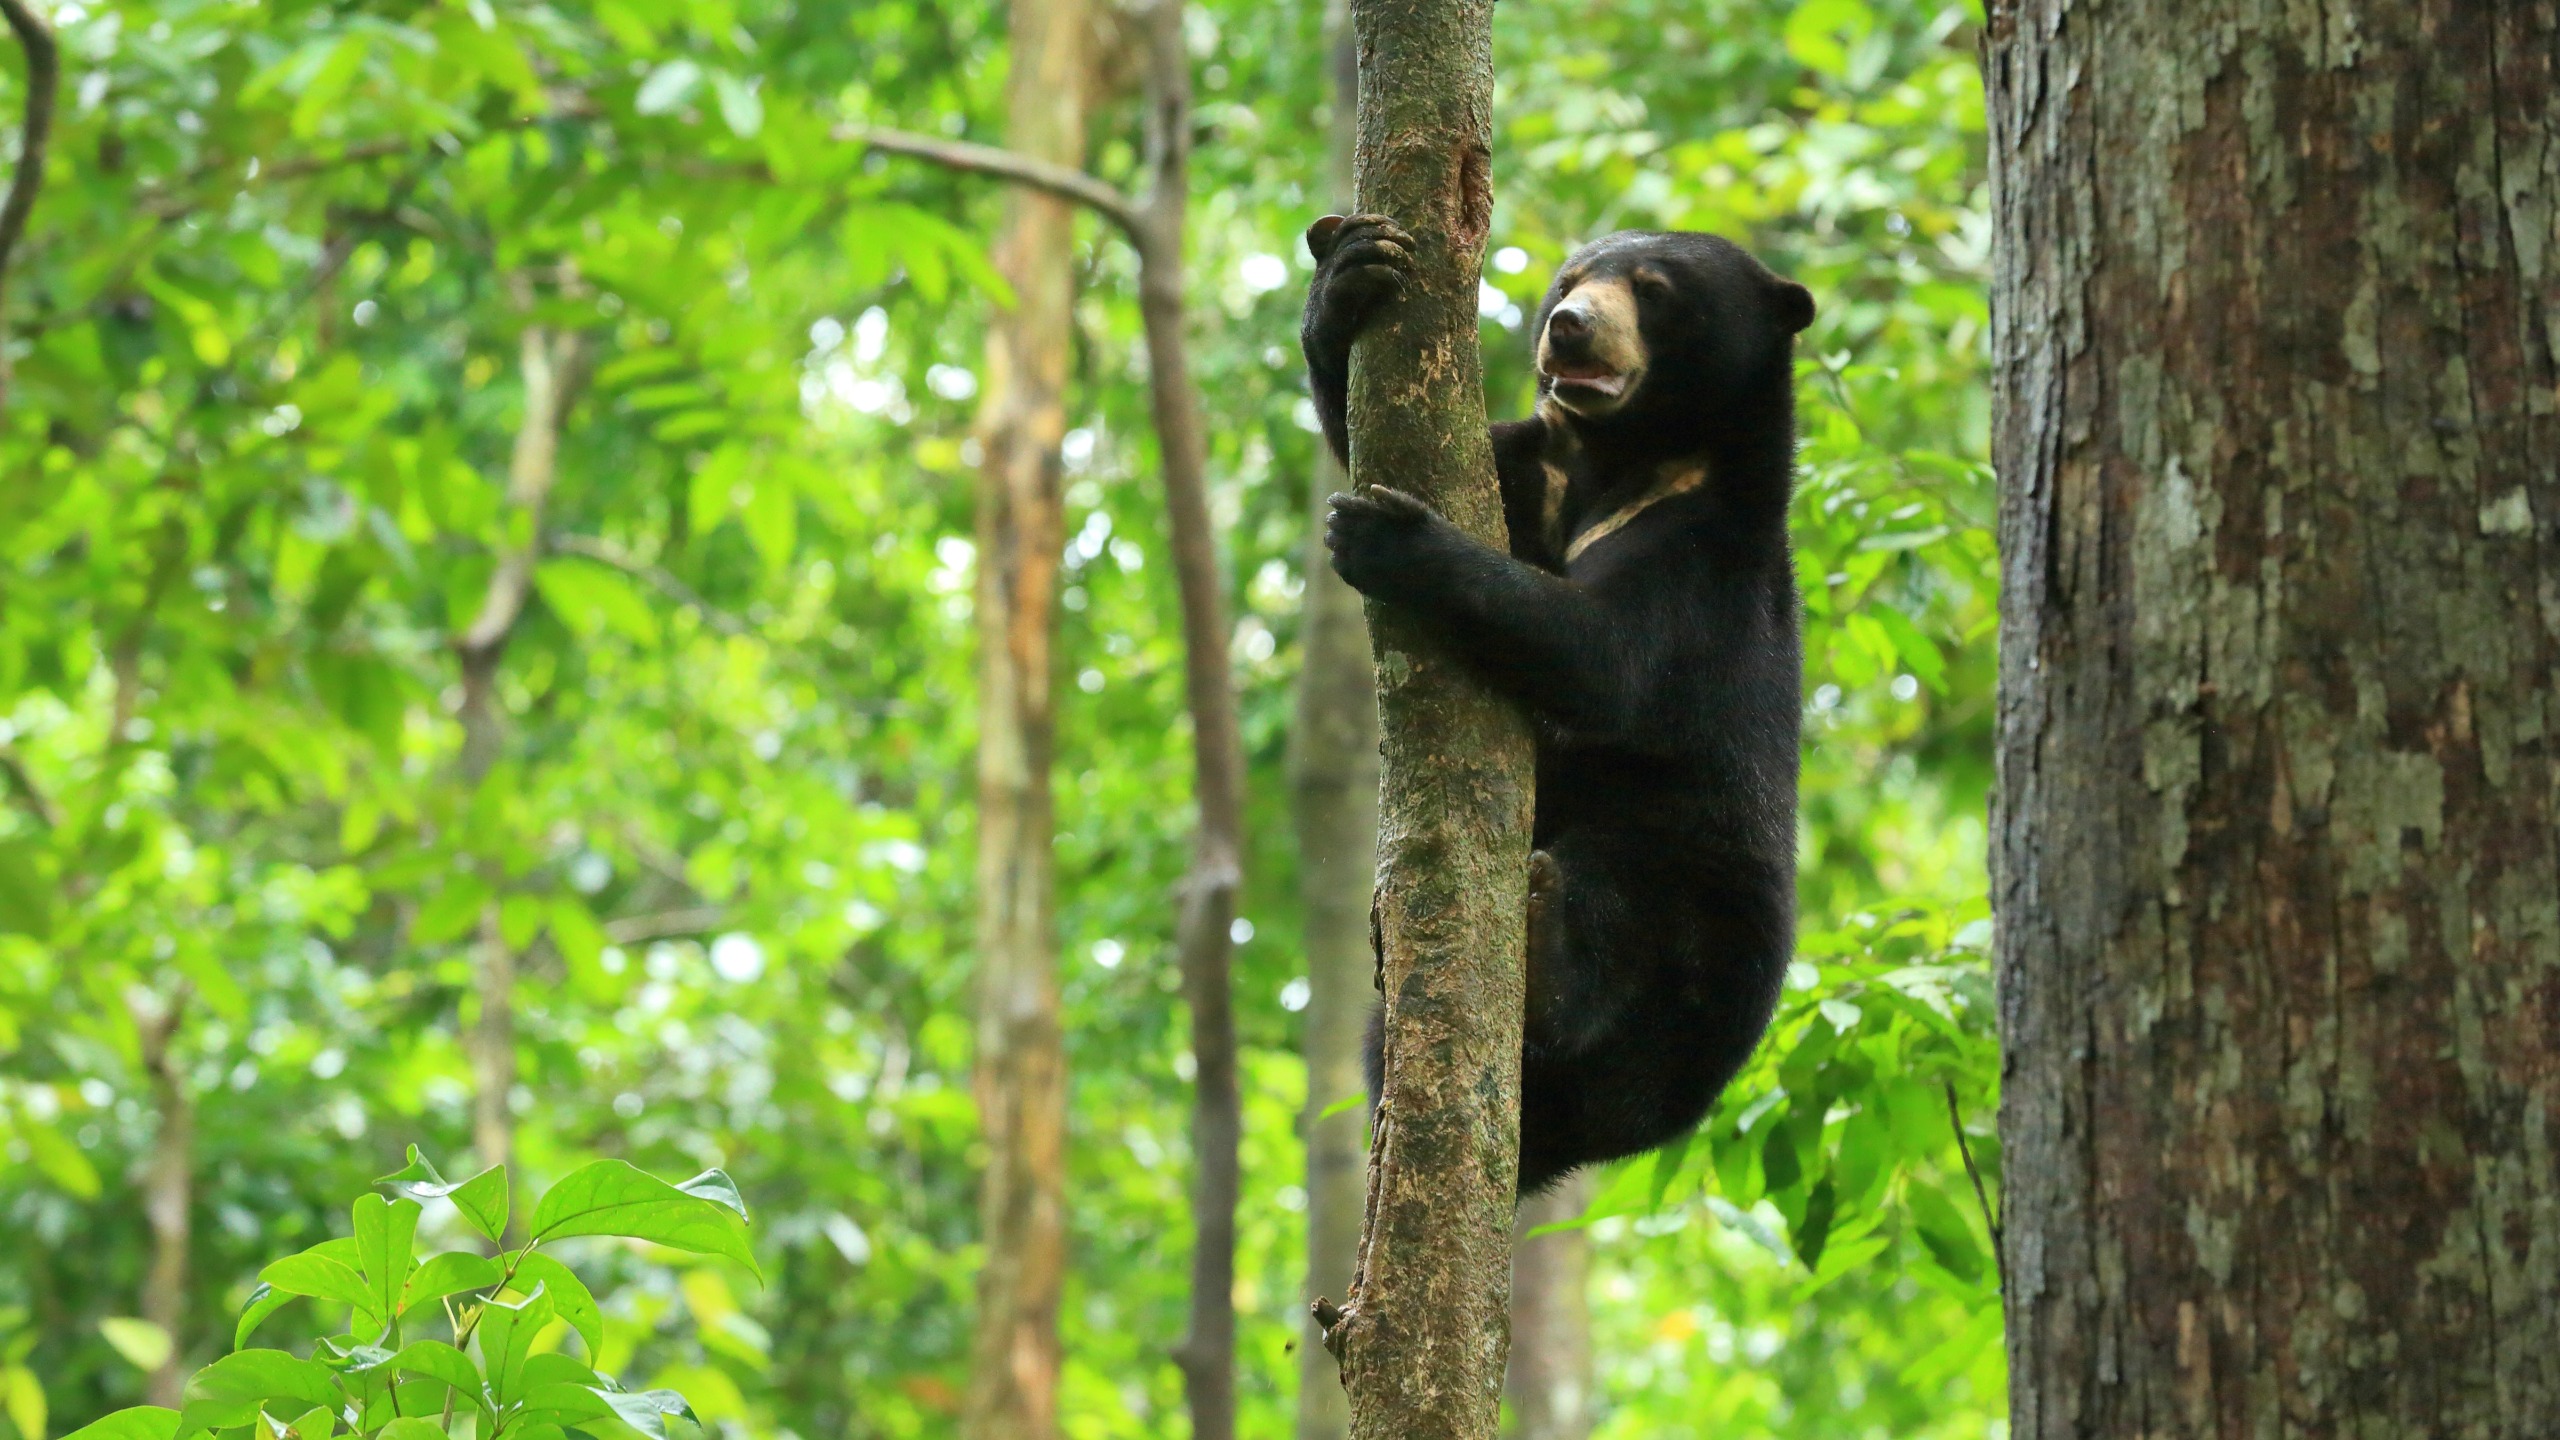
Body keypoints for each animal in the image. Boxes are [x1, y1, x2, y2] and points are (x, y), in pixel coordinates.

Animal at [1310, 207, 1812, 1183]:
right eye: (1572, 279)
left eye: (1654, 290)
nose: (1571, 326)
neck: (1620, 459)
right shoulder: (1532, 476)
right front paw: (1348, 275)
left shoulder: (1706, 559)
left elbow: (1607, 657)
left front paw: (1388, 537)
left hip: (1689, 884)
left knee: (1610, 915)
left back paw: (1546, 951)